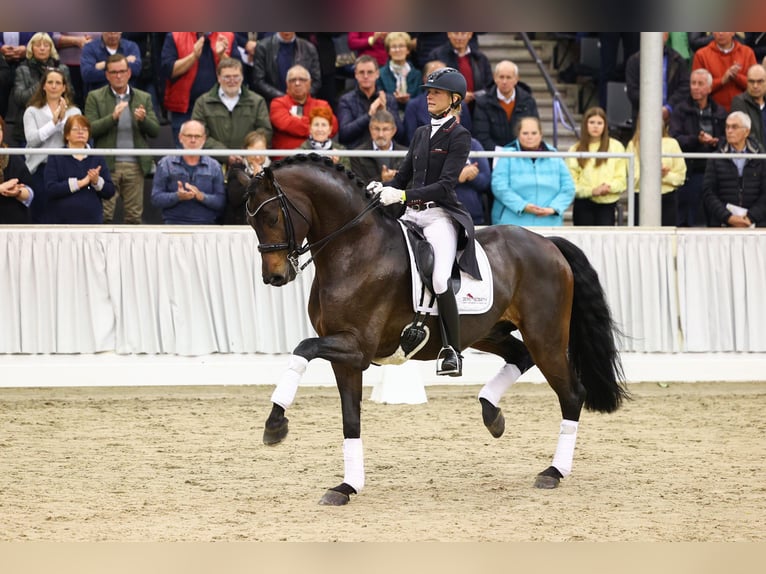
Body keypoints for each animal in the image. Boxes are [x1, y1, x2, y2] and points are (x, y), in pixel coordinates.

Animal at [246, 154, 632, 508]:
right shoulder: (347, 359)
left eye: (272, 217)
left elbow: (303, 349)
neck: (355, 250)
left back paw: (553, 471)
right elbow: (350, 421)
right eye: (251, 221)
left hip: (546, 337)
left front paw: (275, 425)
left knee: (572, 394)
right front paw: (347, 487)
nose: (274, 276)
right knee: (520, 357)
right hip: (489, 331)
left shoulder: (358, 348)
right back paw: (492, 415)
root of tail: (548, 243)